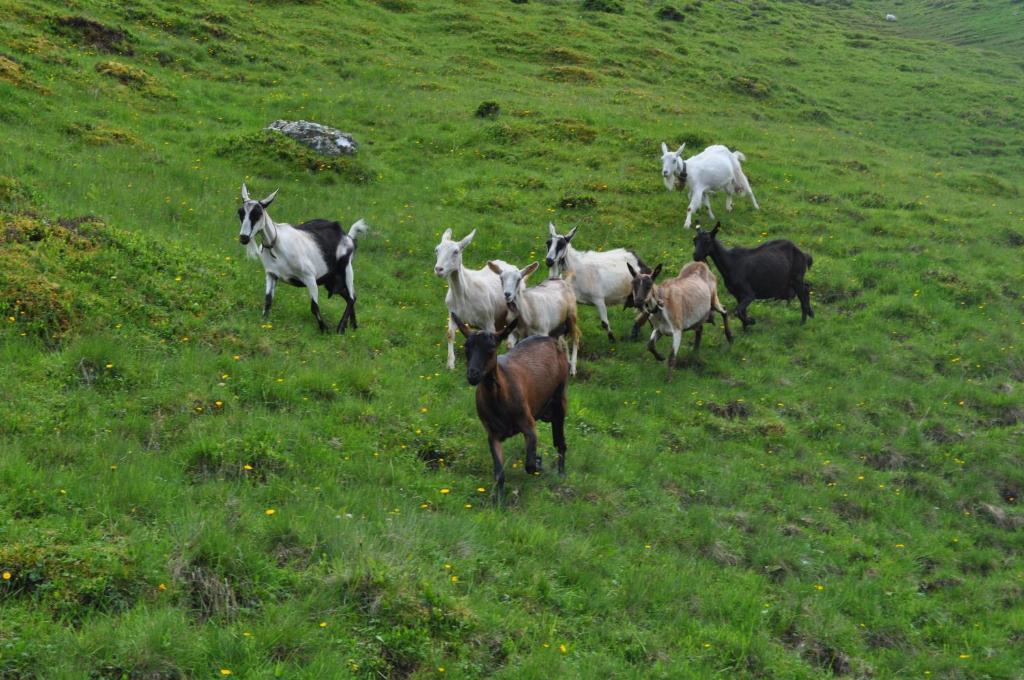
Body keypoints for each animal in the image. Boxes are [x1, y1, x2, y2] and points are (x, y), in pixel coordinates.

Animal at [237, 183, 370, 333]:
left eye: (258, 214)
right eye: (240, 212)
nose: (244, 238)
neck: (277, 243)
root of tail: (348, 237)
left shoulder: (309, 276)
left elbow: (314, 307)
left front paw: (324, 329)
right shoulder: (271, 274)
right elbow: (268, 300)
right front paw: (263, 321)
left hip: (346, 269)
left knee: (352, 298)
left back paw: (341, 328)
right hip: (331, 279)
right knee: (349, 297)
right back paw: (353, 326)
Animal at [434, 228, 509, 368]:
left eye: (456, 251)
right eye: (437, 250)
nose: (438, 269)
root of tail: (505, 262)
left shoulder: (488, 321)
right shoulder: (453, 314)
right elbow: (450, 334)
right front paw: (450, 364)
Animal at [454, 311, 573, 497]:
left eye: (491, 349)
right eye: (467, 347)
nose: (473, 375)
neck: (499, 399)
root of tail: (551, 339)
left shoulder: (529, 425)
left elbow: (530, 465)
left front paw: (539, 462)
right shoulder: (493, 434)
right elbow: (499, 474)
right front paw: (499, 500)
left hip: (559, 401)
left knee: (560, 442)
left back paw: (561, 473)